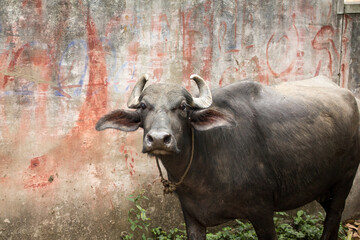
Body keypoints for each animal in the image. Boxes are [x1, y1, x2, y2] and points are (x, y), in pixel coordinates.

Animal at [95, 74, 360, 239]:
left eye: (183, 107)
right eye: (143, 106)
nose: (159, 139)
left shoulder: (263, 212)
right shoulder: (192, 216)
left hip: (345, 179)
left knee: (333, 219)